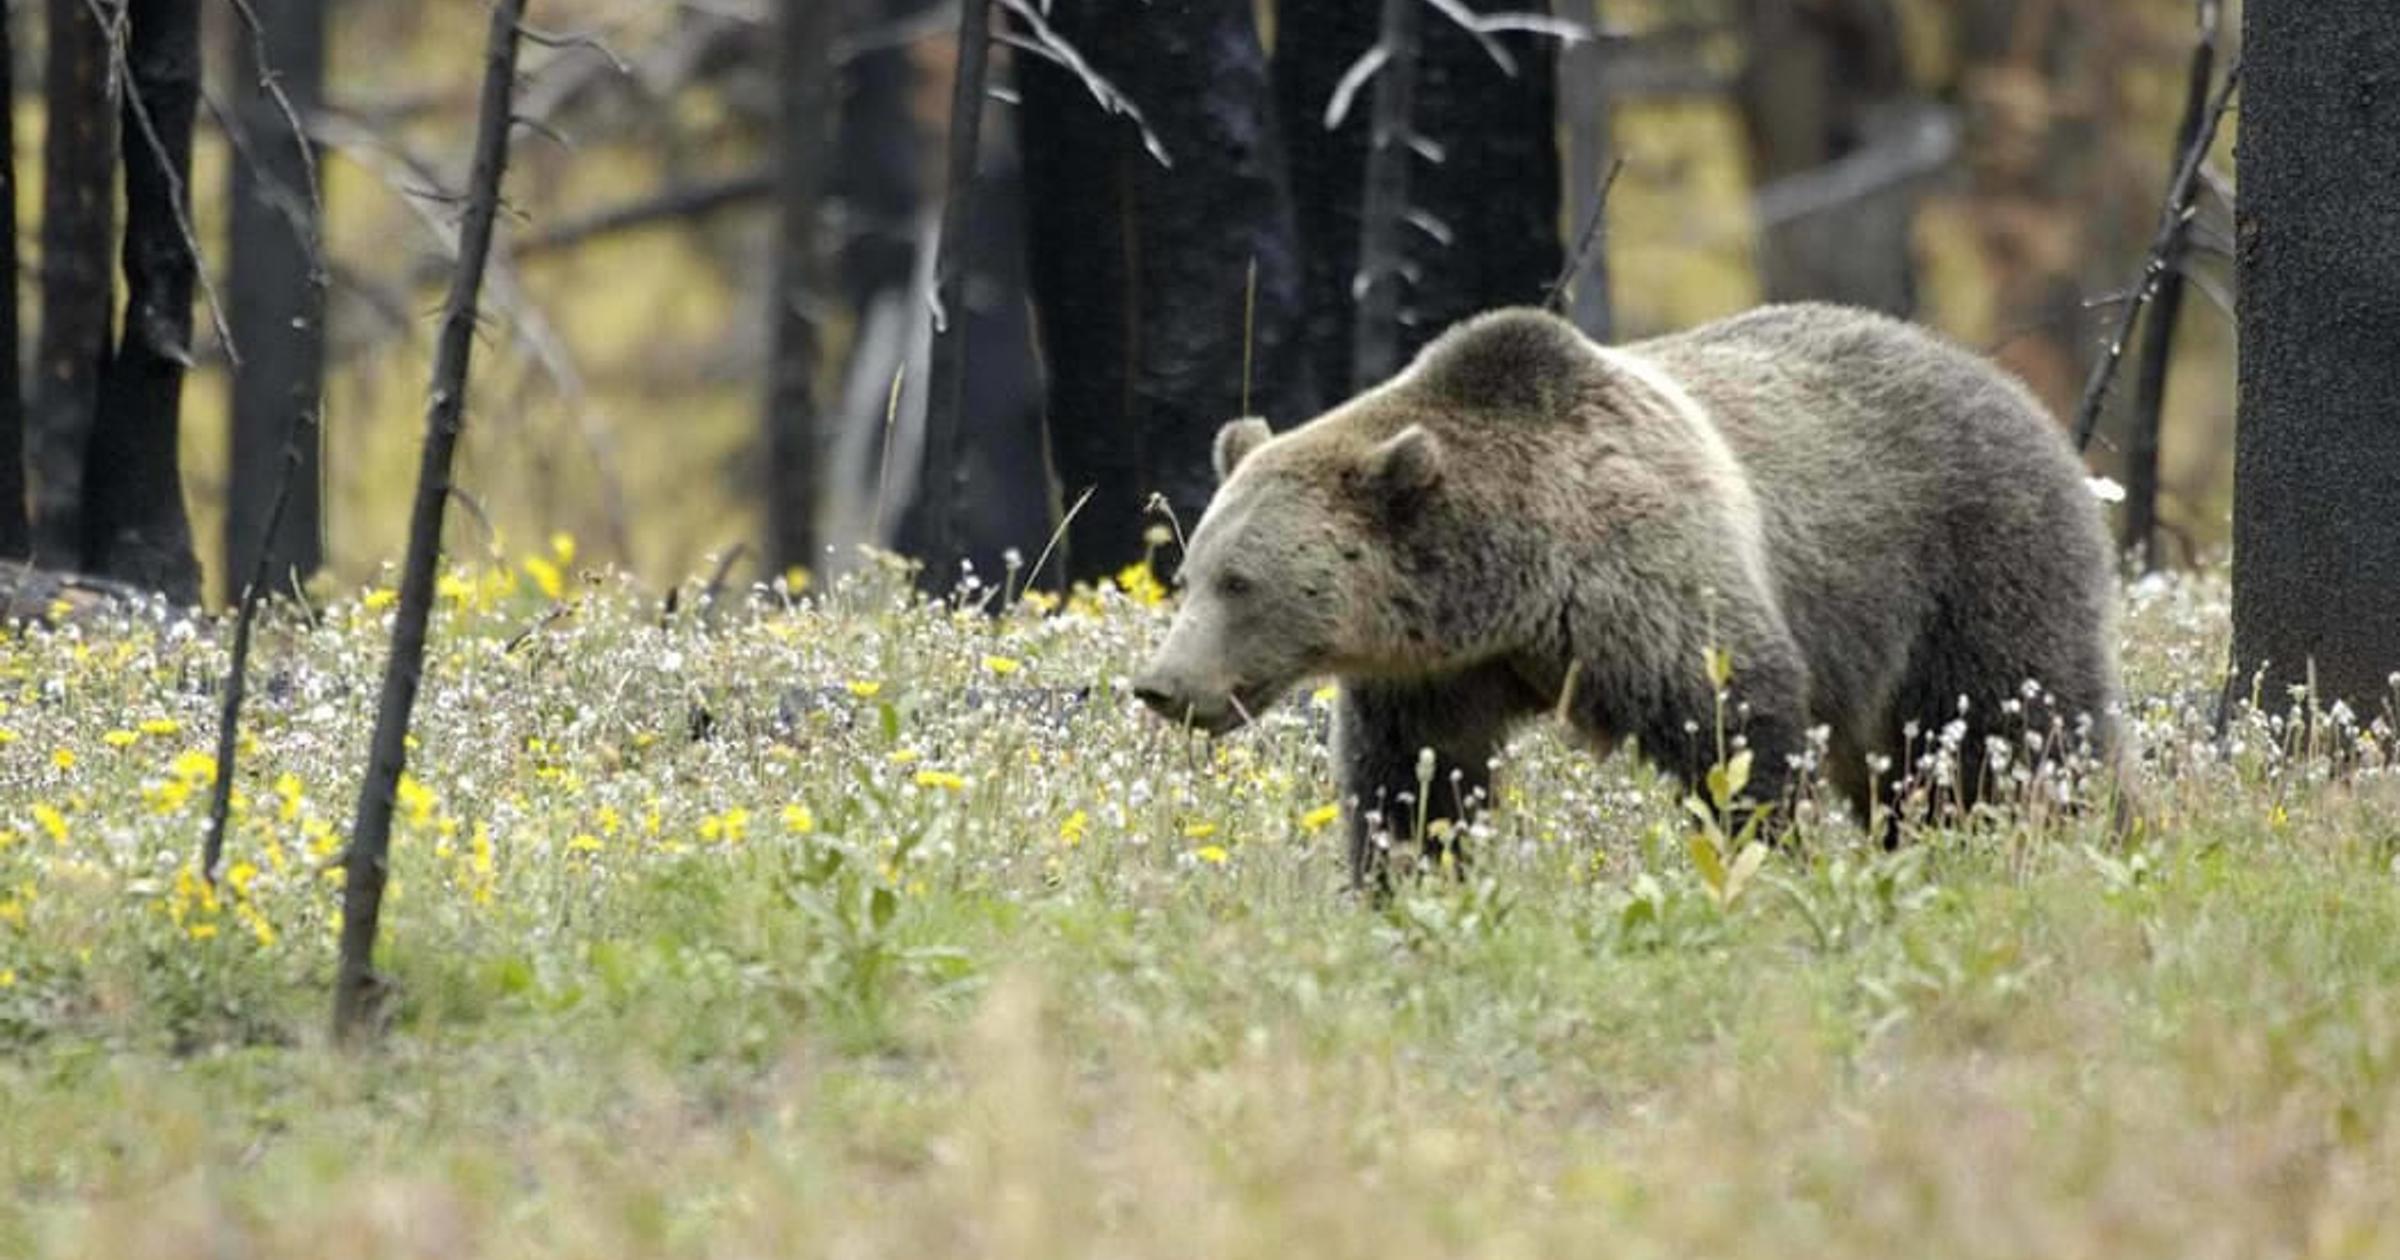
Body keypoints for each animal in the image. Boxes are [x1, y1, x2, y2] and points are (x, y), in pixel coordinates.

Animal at [1130, 303, 2125, 888]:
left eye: (1240, 582)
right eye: (1190, 573)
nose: (1162, 686)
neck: (1513, 583)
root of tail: (2012, 387)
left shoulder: (1647, 584)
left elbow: (1736, 730)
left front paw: (1769, 862)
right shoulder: (1437, 672)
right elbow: (1415, 782)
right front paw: (1407, 882)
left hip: (1972, 562)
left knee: (2018, 731)